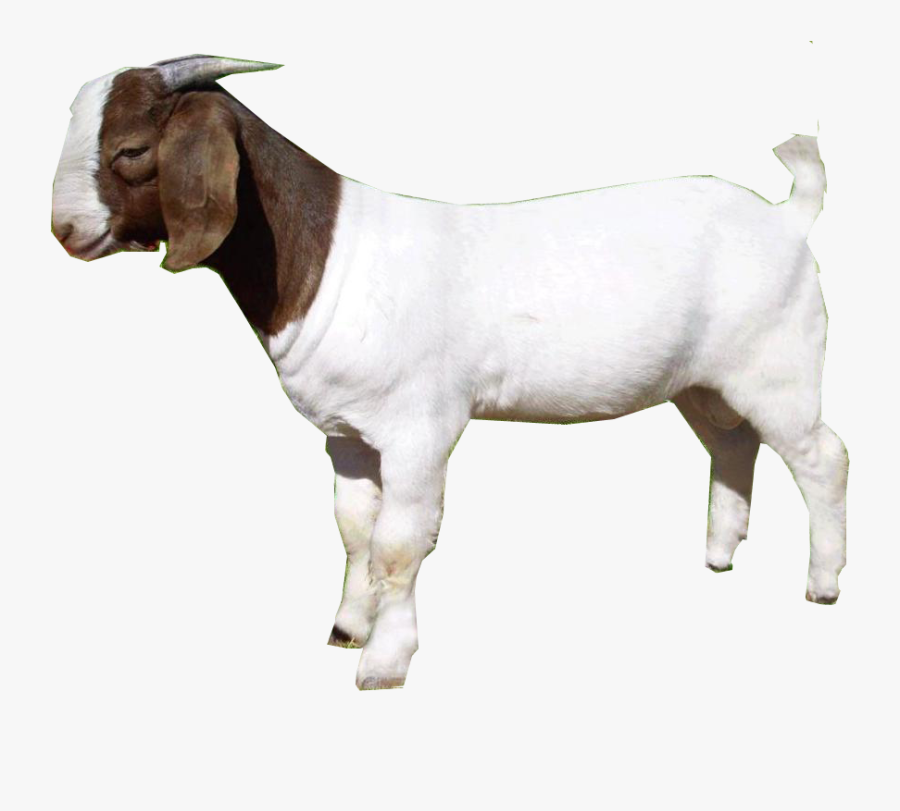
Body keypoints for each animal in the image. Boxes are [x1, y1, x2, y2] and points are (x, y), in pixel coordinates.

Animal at [51, 55, 847, 690]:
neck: (328, 254)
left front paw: (384, 663)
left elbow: (400, 544)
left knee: (822, 457)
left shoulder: (419, 429)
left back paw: (823, 583)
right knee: (733, 443)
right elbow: (354, 531)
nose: (63, 230)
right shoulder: (347, 435)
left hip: (777, 366)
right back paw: (719, 555)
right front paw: (347, 628)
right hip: (704, 382)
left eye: (131, 148)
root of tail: (789, 217)